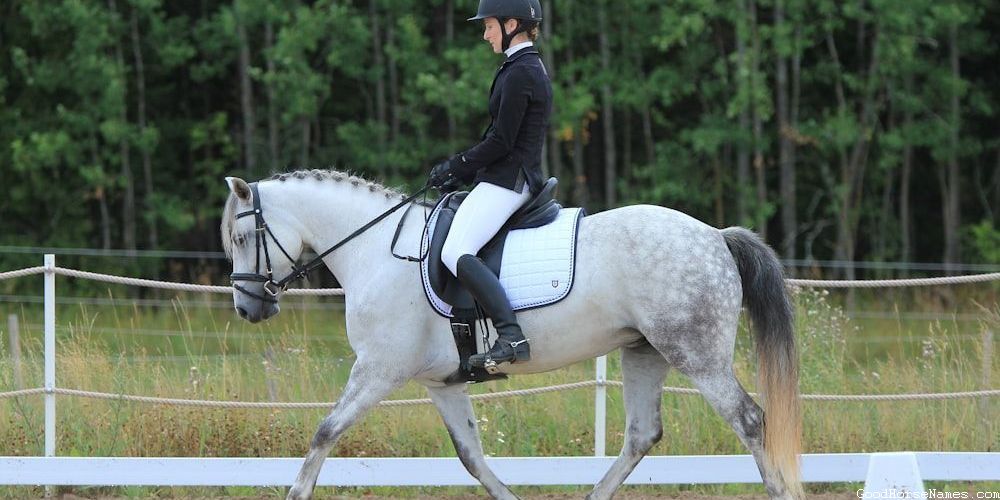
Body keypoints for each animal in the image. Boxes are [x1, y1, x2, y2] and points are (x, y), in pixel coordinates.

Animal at [220, 169, 803, 500]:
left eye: (244, 236)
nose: (248, 308)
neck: (376, 250)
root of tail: (716, 235)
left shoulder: (378, 370)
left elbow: (325, 431)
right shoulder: (442, 383)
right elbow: (471, 458)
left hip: (696, 353)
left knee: (751, 422)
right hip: (645, 351)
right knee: (642, 435)